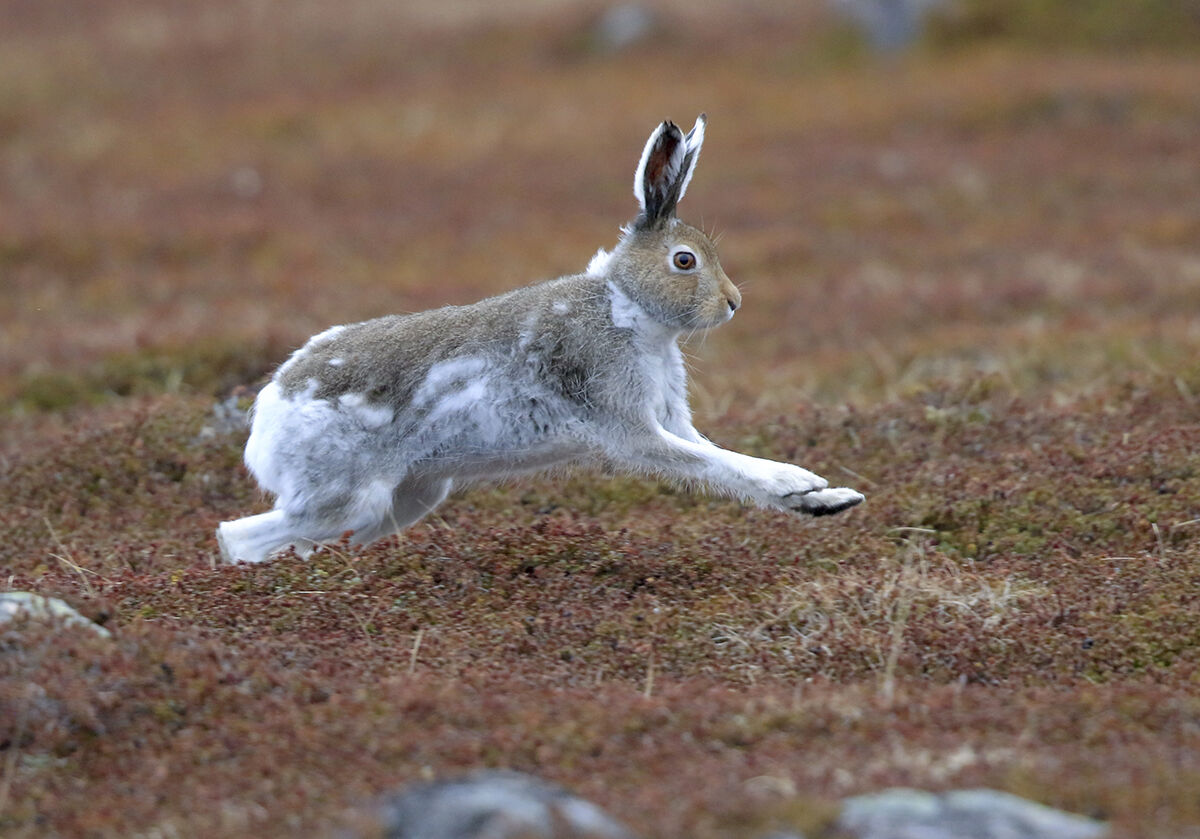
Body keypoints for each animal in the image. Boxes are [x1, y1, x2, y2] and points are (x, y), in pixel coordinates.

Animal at [217, 114, 864, 564]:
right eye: (685, 261)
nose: (733, 303)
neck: (626, 308)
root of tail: (266, 419)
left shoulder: (670, 418)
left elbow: (715, 452)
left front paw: (827, 500)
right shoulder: (628, 425)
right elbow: (714, 463)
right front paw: (796, 482)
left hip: (408, 498)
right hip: (347, 495)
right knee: (238, 535)